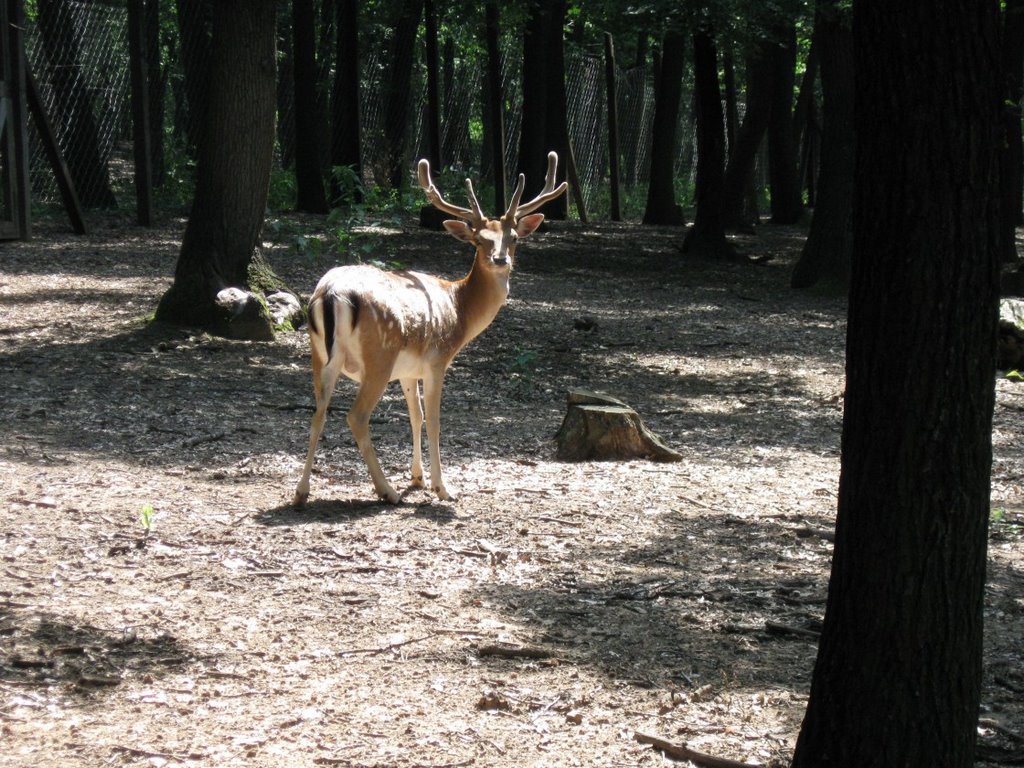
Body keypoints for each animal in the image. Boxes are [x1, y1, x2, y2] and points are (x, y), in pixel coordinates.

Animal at [294, 152, 569, 507]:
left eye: (514, 238)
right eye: (479, 239)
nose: (500, 259)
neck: (459, 309)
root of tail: (331, 294)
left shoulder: (408, 371)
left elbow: (416, 416)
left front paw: (418, 477)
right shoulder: (438, 360)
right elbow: (435, 420)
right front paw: (443, 487)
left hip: (320, 355)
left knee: (317, 413)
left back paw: (301, 492)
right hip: (379, 356)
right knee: (356, 416)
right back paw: (387, 491)